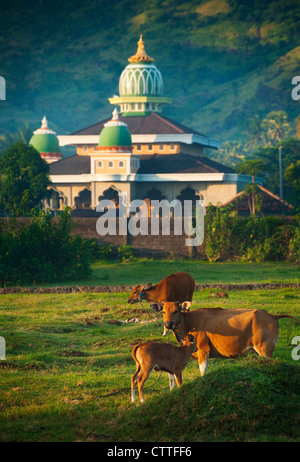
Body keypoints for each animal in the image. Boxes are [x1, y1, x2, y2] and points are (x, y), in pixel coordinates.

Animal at [150, 302, 300, 378]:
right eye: (163, 311)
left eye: (176, 311)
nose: (168, 324)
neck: (188, 323)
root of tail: (271, 316)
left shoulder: (204, 349)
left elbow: (202, 371)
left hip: (265, 349)